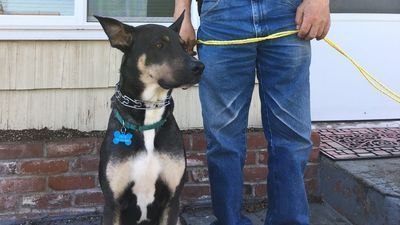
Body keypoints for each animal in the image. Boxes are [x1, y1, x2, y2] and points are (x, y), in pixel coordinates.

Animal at [95, 12, 205, 225]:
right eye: (158, 45)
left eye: (183, 46)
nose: (199, 67)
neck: (149, 113)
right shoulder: (113, 203)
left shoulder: (172, 200)